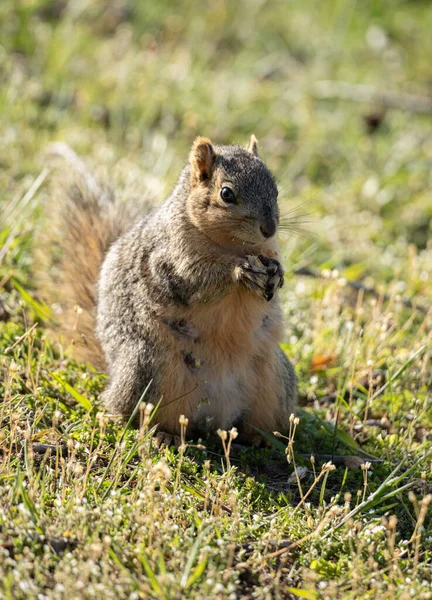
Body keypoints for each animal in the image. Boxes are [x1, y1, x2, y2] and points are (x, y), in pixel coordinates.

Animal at [40, 136, 296, 436]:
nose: (269, 228)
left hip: (276, 381)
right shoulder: (165, 260)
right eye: (226, 194)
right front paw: (238, 271)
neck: (233, 245)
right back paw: (163, 436)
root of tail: (217, 415)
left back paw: (261, 439)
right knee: (134, 415)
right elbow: (192, 278)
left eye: (275, 189)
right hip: (148, 370)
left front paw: (277, 273)